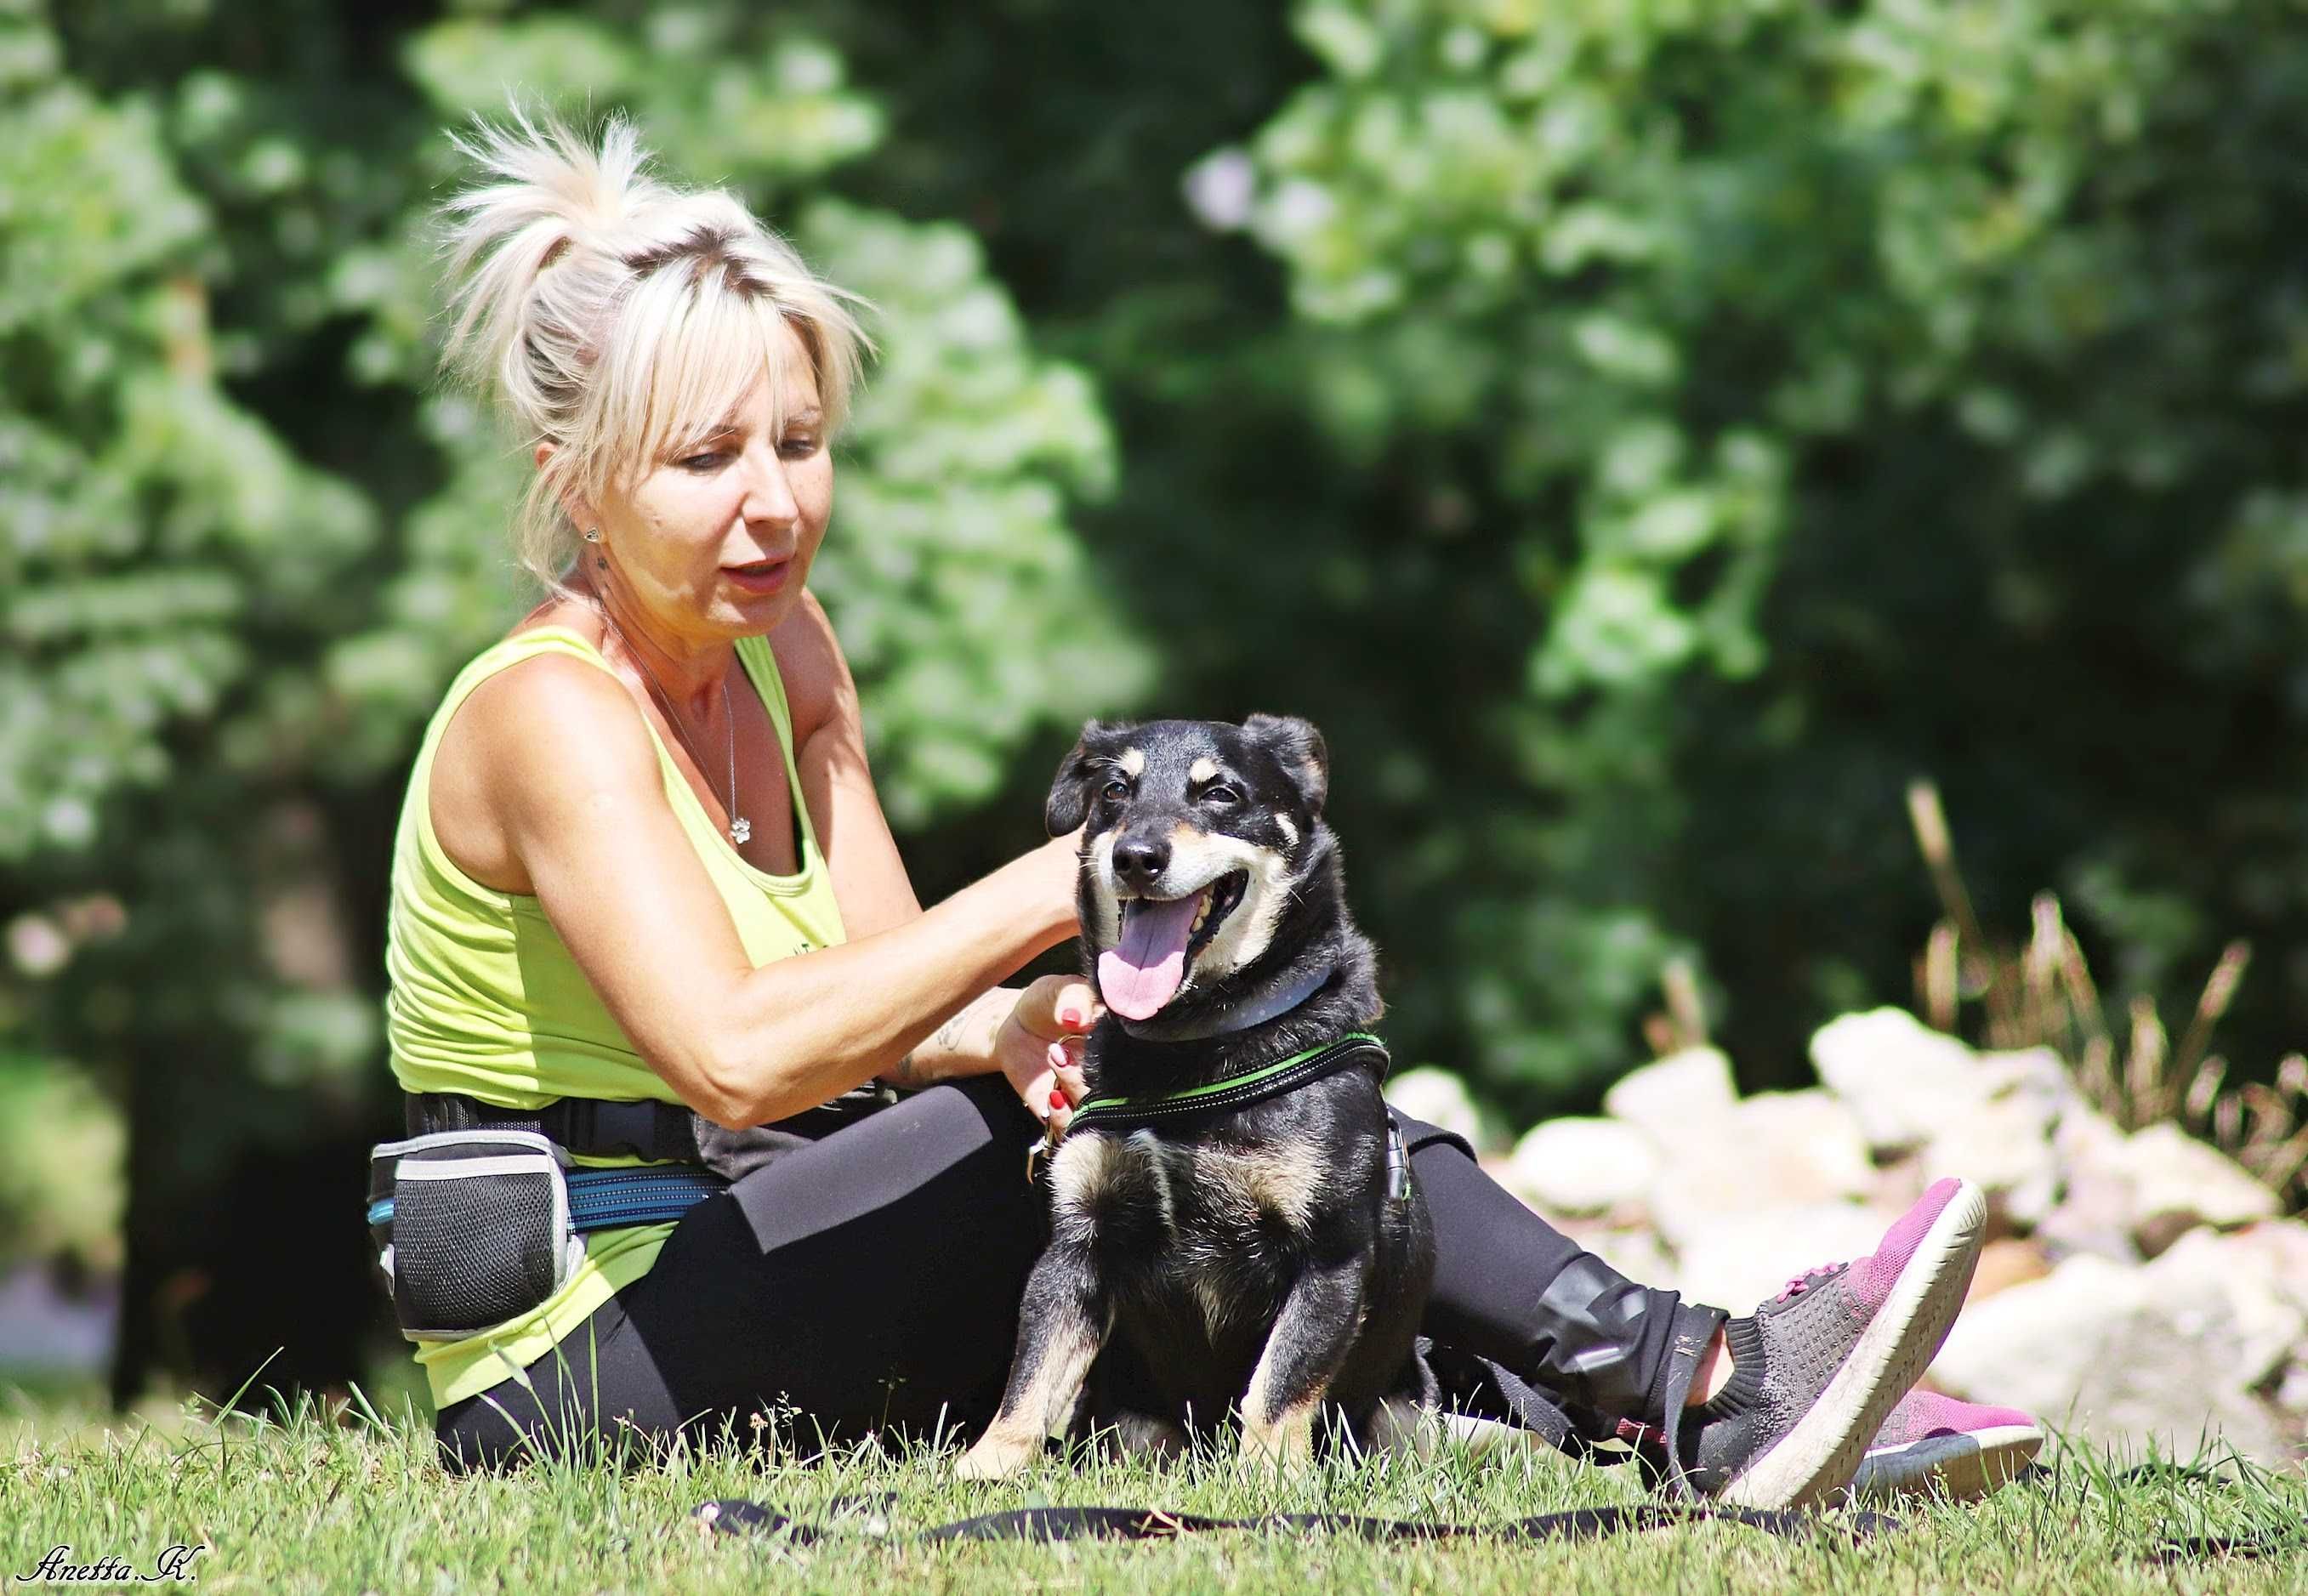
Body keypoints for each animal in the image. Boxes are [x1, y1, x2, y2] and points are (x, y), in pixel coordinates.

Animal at [951, 714, 1421, 1475]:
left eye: (1221, 793)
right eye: (1115, 790)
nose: (1137, 857)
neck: (1190, 1050)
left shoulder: (1330, 1252)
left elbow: (1279, 1383)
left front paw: (1267, 1478)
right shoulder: (1077, 1241)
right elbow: (1033, 1371)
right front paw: (983, 1469)